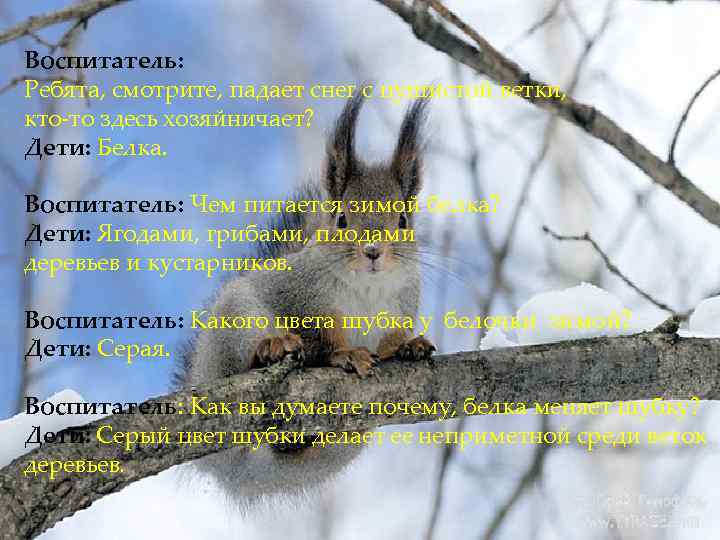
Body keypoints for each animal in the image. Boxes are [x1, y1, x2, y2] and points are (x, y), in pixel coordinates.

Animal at [179, 93, 435, 506]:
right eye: (342, 219)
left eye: (402, 221)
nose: (372, 252)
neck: (369, 288)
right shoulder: (298, 293)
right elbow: (318, 338)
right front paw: (344, 355)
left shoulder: (403, 305)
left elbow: (392, 339)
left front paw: (408, 346)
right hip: (233, 323)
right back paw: (271, 347)